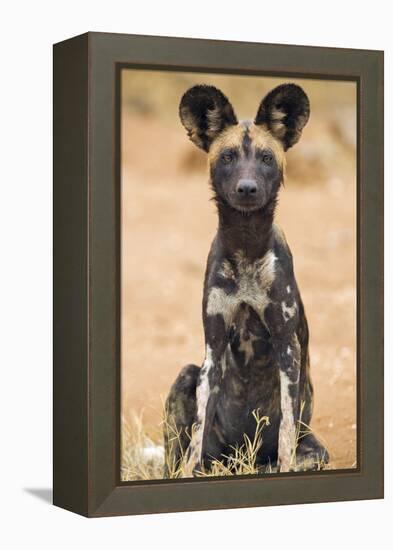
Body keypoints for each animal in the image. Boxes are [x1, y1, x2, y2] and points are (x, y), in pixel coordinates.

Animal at [163, 82, 328, 478]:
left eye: (266, 158)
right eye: (228, 157)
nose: (248, 188)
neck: (246, 246)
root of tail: (240, 460)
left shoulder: (287, 347)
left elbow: (285, 431)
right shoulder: (213, 348)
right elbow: (197, 434)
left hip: (315, 451)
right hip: (188, 376)